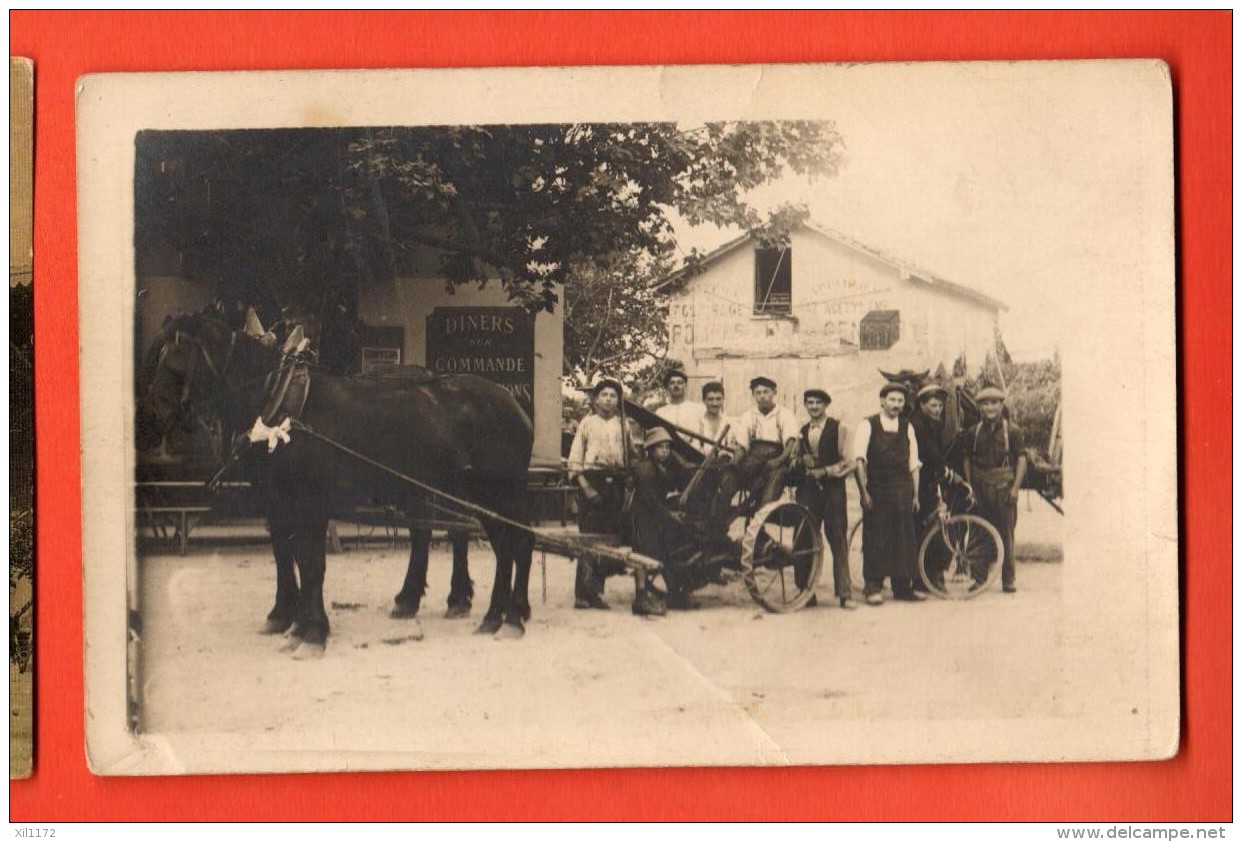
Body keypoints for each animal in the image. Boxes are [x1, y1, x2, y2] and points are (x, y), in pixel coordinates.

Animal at [138, 306, 536, 655]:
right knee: (496, 545)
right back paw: (491, 615)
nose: (150, 417)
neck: (280, 403)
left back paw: (511, 617)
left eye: (175, 357)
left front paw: (311, 631)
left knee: (517, 542)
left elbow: (311, 562)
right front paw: (289, 620)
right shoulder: (277, 501)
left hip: (497, 493)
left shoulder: (310, 501)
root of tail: (515, 406)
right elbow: (289, 556)